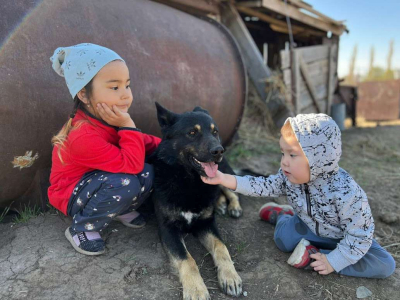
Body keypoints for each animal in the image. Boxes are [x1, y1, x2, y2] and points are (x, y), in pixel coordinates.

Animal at [148, 102, 242, 298]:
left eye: (215, 131)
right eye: (192, 132)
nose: (219, 150)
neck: (188, 181)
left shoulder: (206, 224)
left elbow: (221, 247)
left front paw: (230, 276)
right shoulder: (168, 230)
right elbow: (187, 259)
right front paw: (196, 289)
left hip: (224, 174)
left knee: (232, 191)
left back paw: (233, 207)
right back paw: (220, 204)